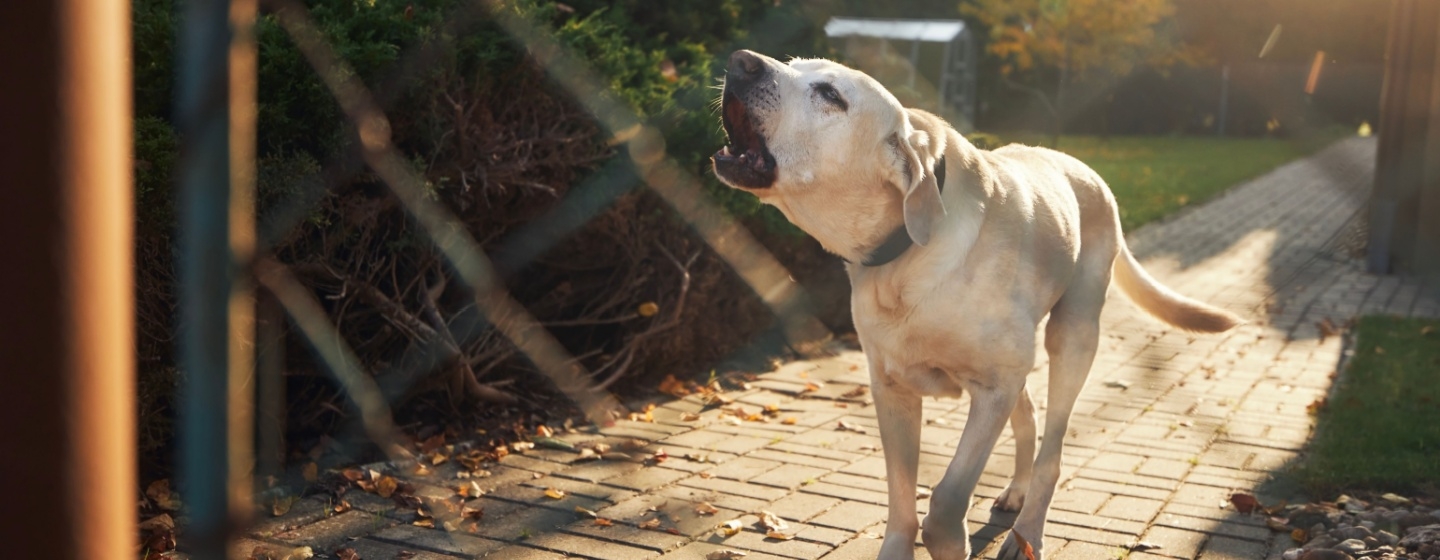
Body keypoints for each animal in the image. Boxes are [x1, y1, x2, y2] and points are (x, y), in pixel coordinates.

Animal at [708, 50, 1238, 555]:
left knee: (1051, 451)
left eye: (830, 94)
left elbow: (945, 502)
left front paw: (951, 539)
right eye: (793, 66)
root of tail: (1088, 172)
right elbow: (901, 501)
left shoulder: (992, 389)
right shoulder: (893, 391)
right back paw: (1017, 494)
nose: (740, 61)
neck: (908, 254)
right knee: (1028, 420)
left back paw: (1028, 534)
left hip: (1073, 336)